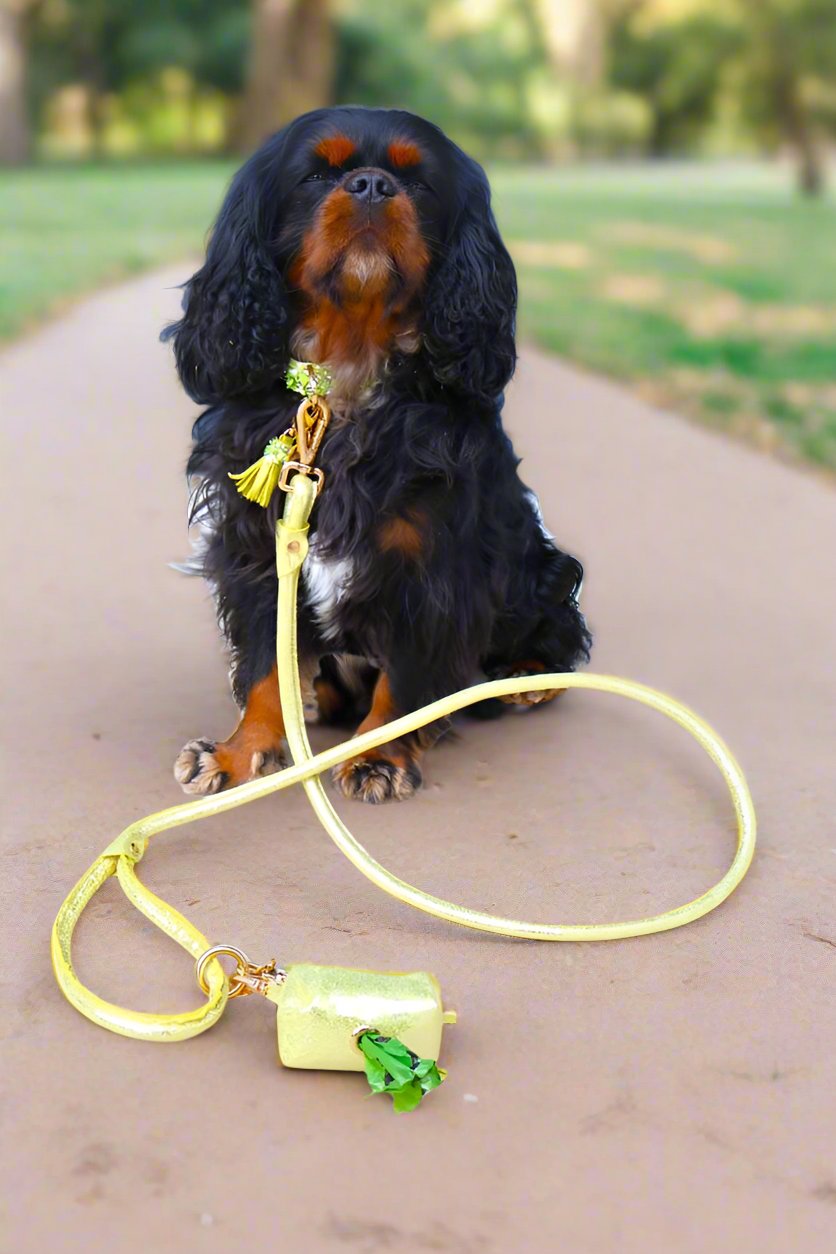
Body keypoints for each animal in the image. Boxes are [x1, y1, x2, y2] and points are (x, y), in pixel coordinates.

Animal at [166, 110, 591, 812]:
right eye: (317, 175)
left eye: (418, 181)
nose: (370, 184)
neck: (348, 375)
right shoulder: (259, 552)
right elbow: (263, 665)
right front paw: (239, 750)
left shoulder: (432, 570)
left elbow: (406, 681)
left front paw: (381, 756)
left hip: (540, 565)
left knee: (558, 630)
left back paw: (526, 677)